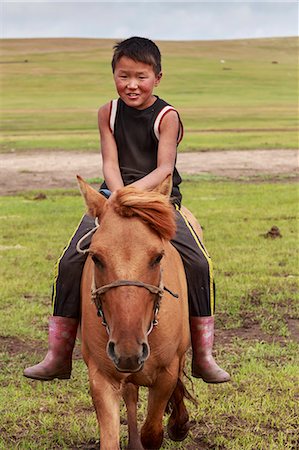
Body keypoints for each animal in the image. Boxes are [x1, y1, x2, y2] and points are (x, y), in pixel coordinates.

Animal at [78, 175, 198, 450]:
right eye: (96, 258)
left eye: (157, 257)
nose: (128, 349)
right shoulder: (101, 376)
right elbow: (111, 439)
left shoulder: (166, 374)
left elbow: (152, 432)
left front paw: (177, 425)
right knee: (131, 395)